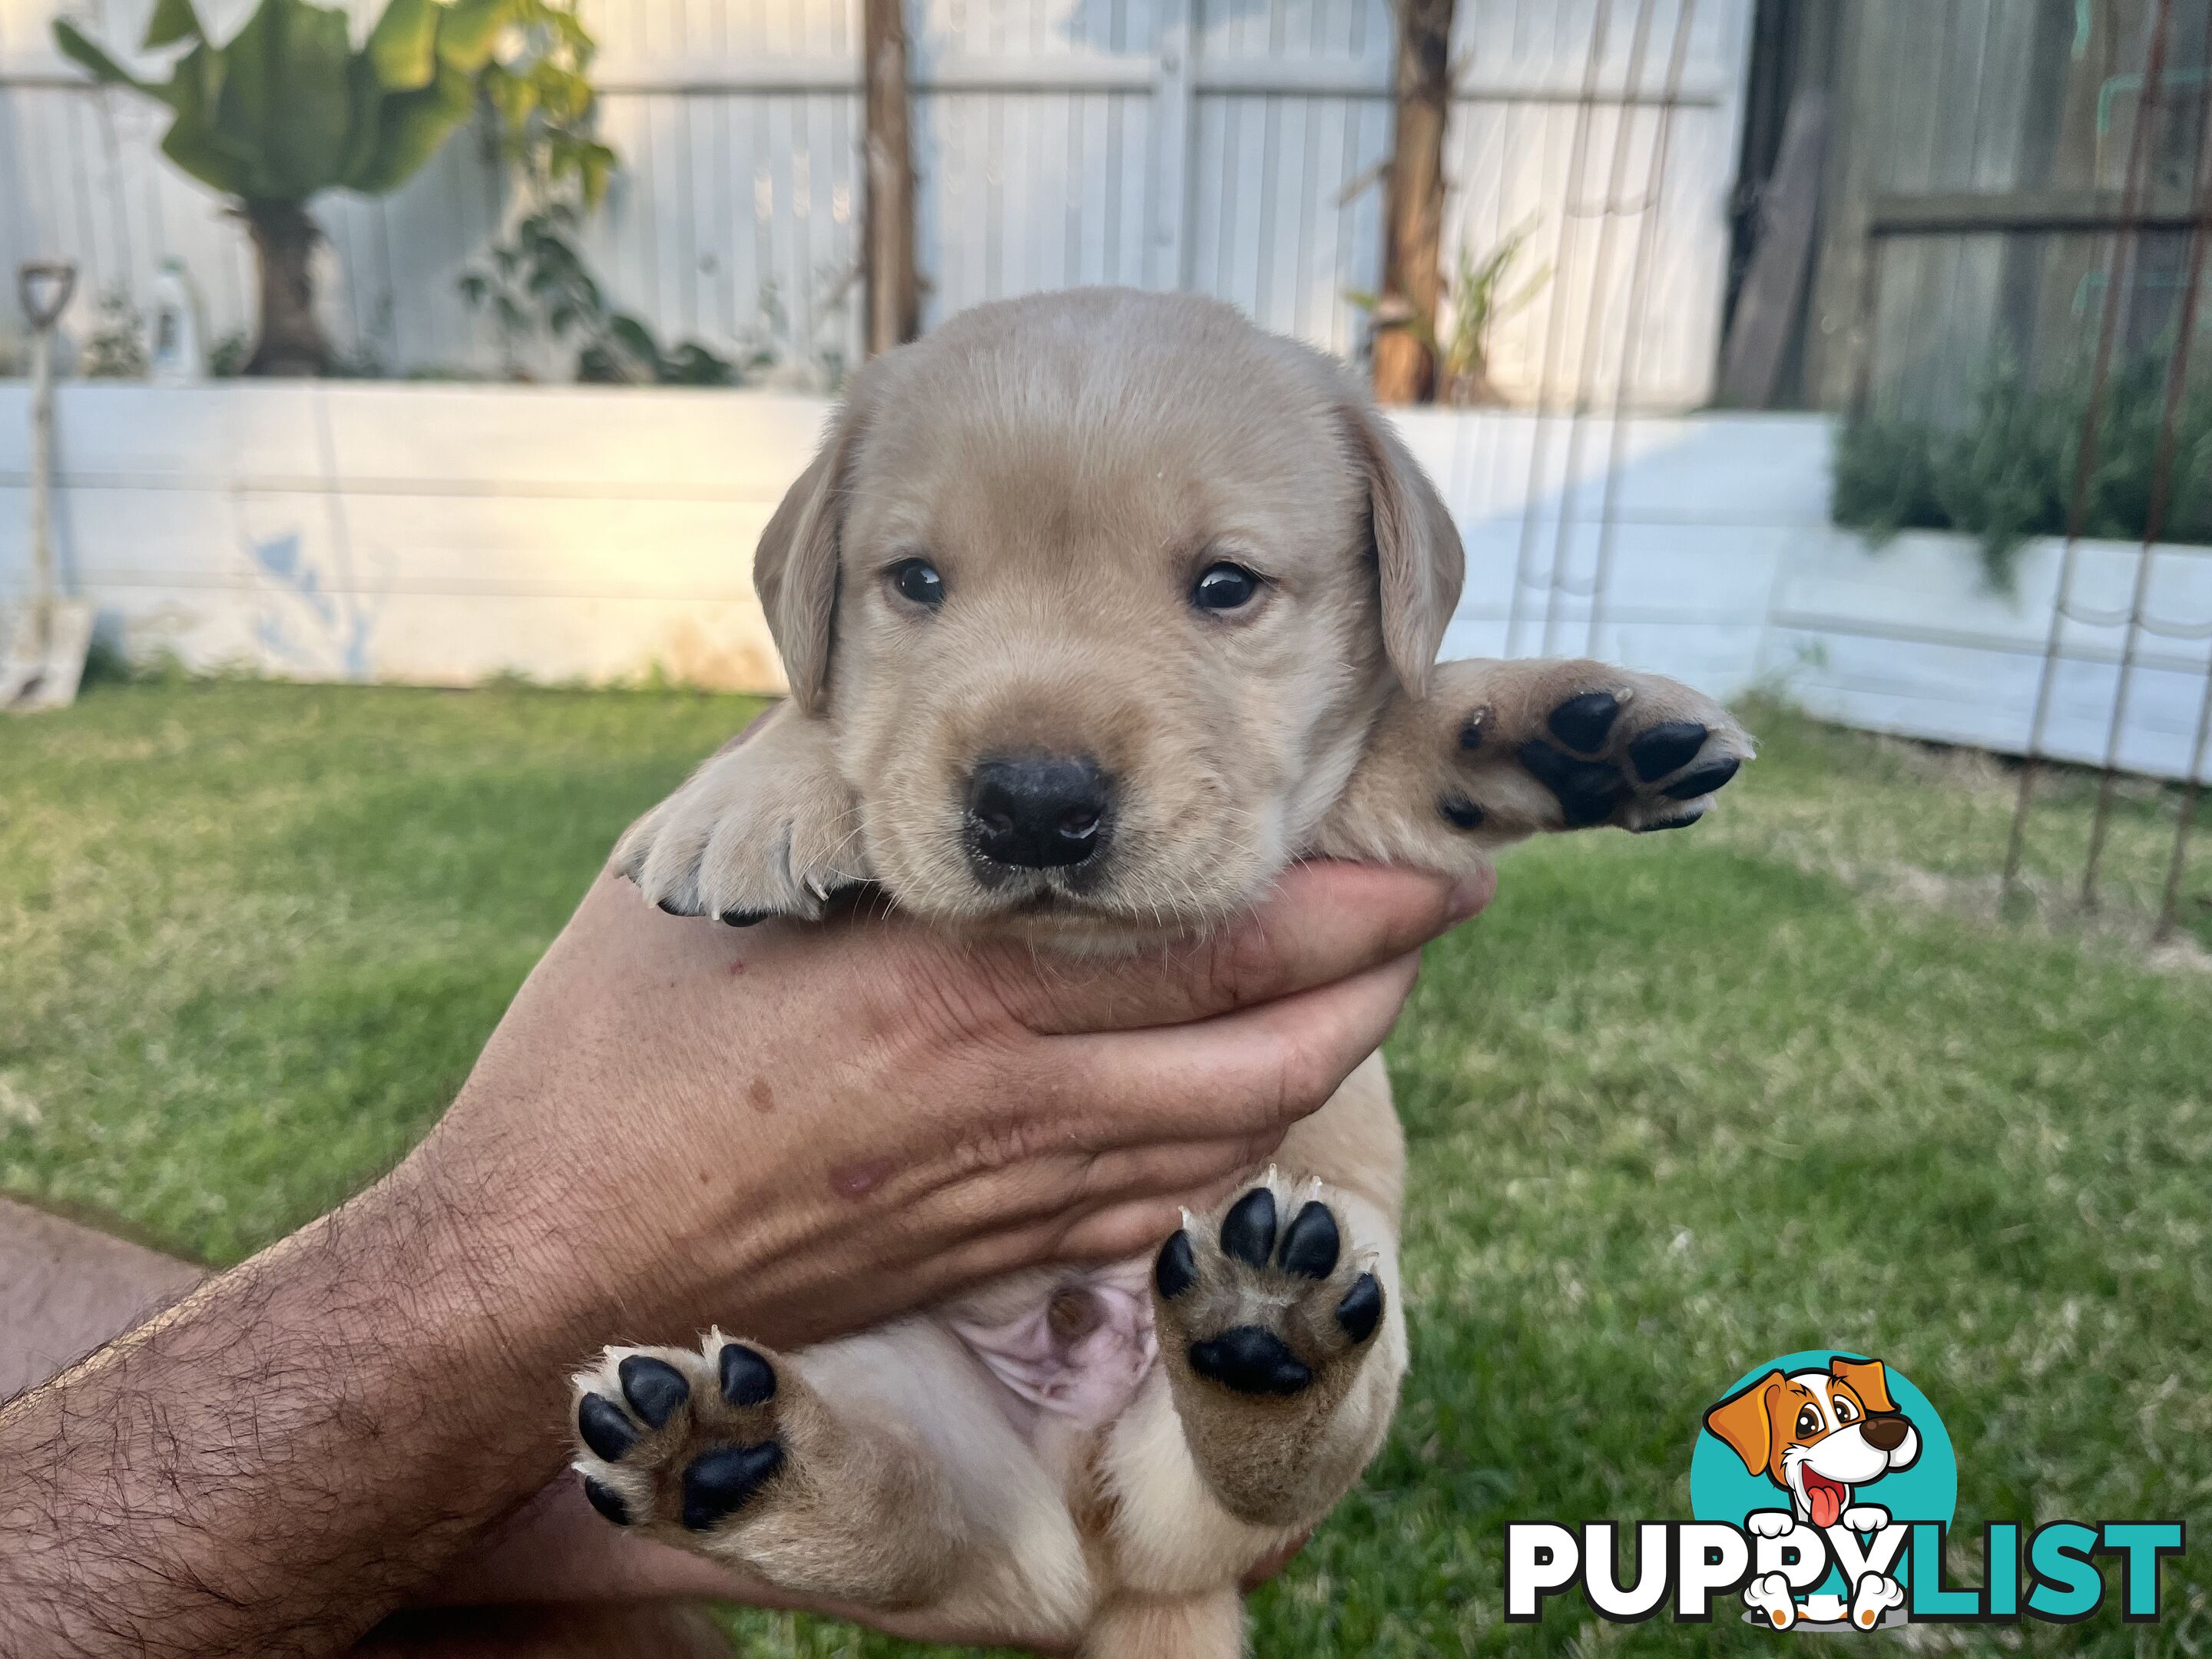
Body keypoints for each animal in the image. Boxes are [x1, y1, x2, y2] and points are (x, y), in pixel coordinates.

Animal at [566, 292, 1743, 1654]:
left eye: (1226, 587)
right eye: (916, 582)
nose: (1034, 804)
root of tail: (1098, 1530)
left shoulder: (1312, 817)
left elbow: (1400, 729)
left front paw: (1555, 729)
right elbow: (821, 711)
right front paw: (753, 792)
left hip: (1353, 1323)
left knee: (1258, 1469)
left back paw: (1266, 1341)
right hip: (916, 1403)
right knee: (913, 1528)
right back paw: (724, 1458)